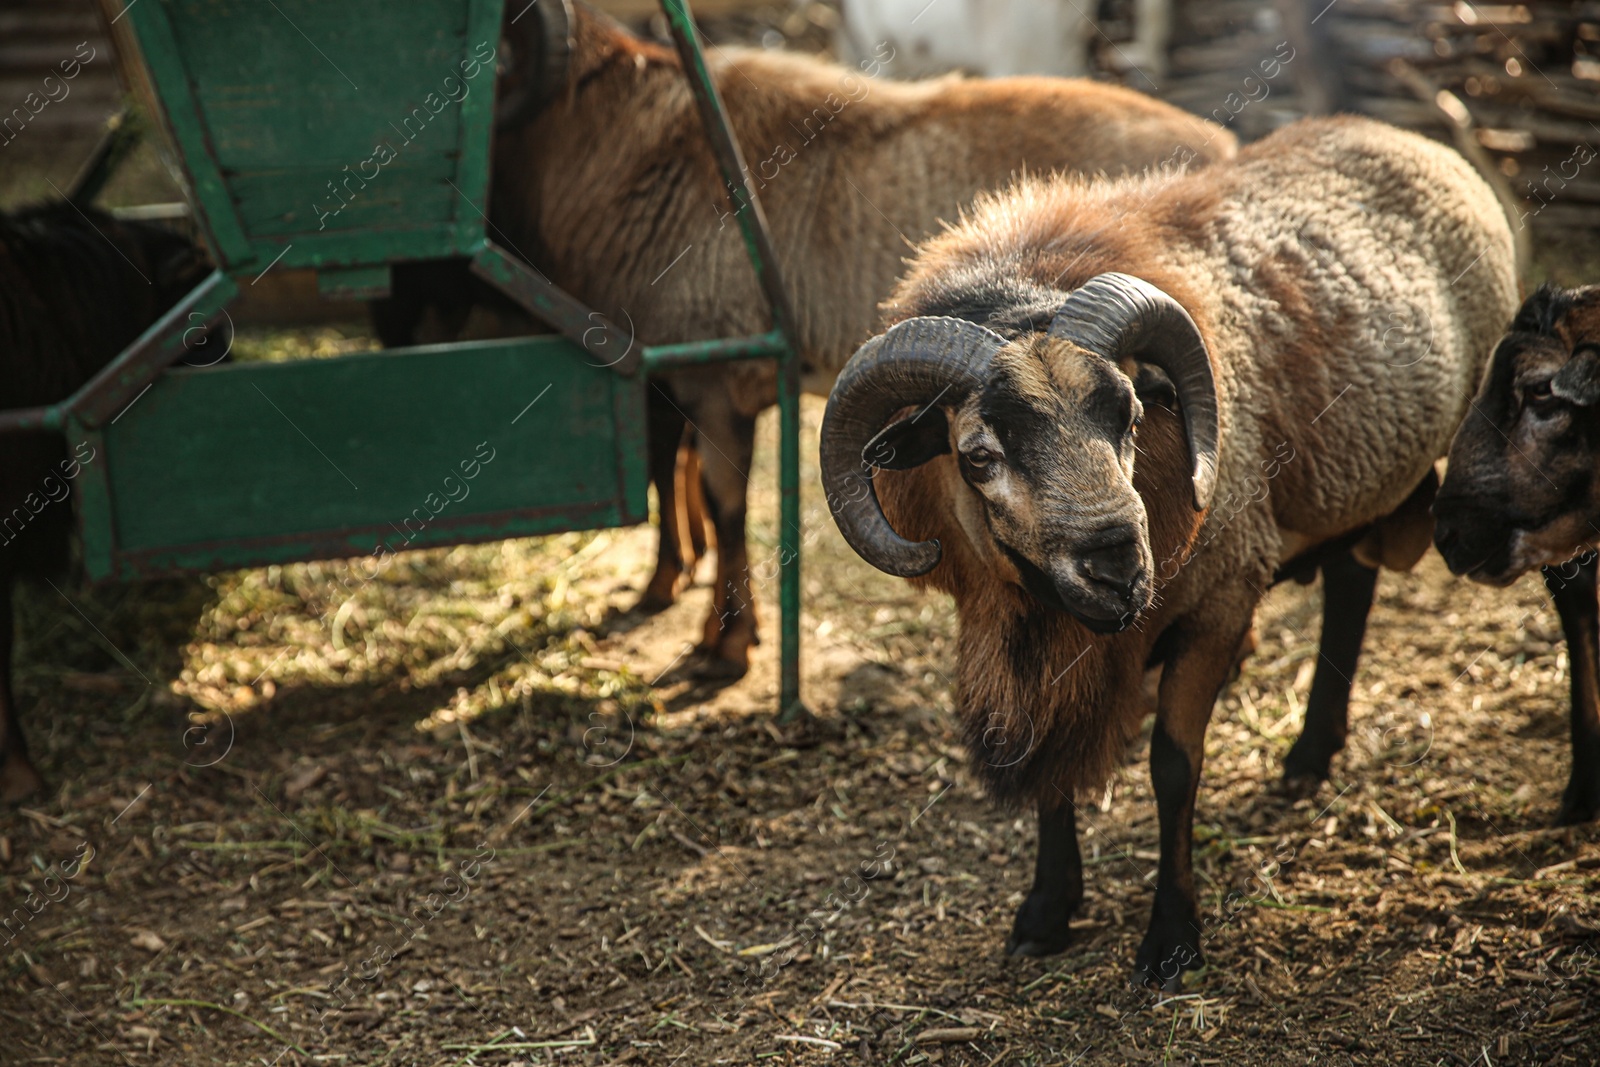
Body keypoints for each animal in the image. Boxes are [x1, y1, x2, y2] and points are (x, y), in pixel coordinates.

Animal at [489, 2, 1235, 675]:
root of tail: (1220, 146)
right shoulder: (661, 364)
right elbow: (670, 467)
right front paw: (670, 590)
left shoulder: (715, 379)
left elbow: (723, 502)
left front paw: (724, 646)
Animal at [819, 116, 1516, 985]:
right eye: (978, 454)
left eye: (1129, 413)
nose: (1117, 564)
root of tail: (1409, 136)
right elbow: (1054, 770)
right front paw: (1045, 913)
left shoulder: (1219, 603)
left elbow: (1173, 769)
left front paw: (1172, 939)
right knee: (1352, 584)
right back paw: (1310, 754)